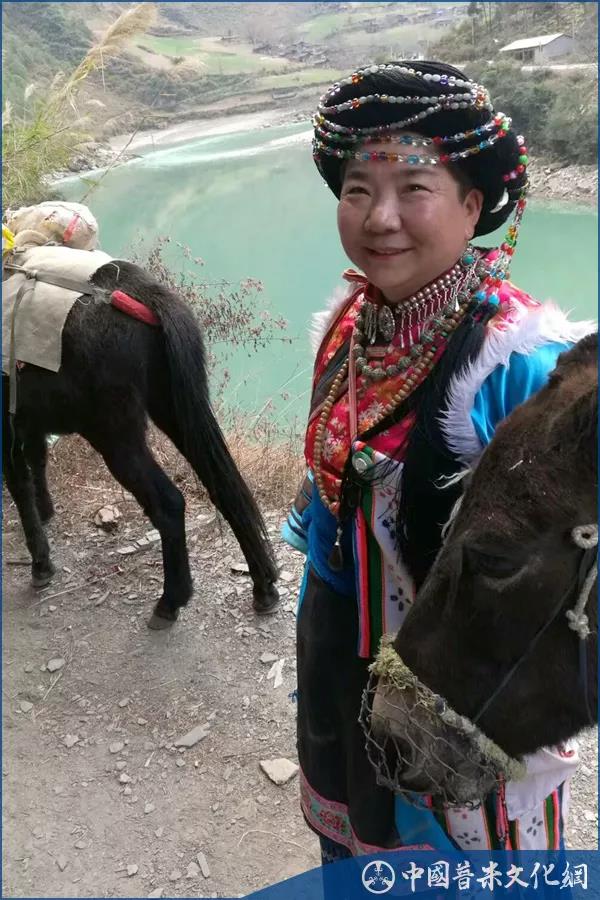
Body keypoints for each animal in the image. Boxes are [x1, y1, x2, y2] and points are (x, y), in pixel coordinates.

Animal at [2, 259, 280, 629]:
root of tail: (142, 292)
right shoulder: (26, 422)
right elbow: (35, 465)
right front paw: (45, 515)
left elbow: (19, 484)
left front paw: (41, 565)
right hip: (173, 407)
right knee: (224, 486)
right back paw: (264, 587)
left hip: (113, 433)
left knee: (169, 503)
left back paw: (170, 601)